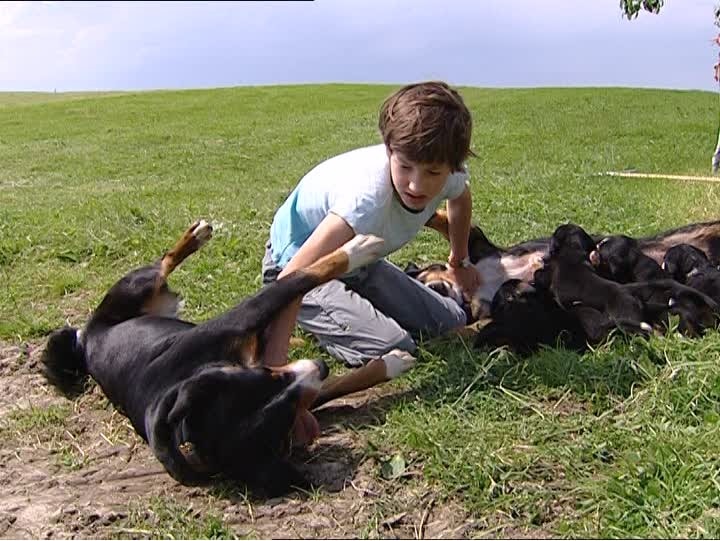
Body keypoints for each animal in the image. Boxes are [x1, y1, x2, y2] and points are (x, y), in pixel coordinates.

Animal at [40, 219, 410, 494]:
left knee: (162, 264)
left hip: (136, 289)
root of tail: (86, 338)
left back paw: (194, 237)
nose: (321, 366)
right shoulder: (245, 319)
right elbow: (300, 277)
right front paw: (357, 249)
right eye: (286, 416)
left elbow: (300, 279)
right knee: (161, 267)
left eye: (269, 375)